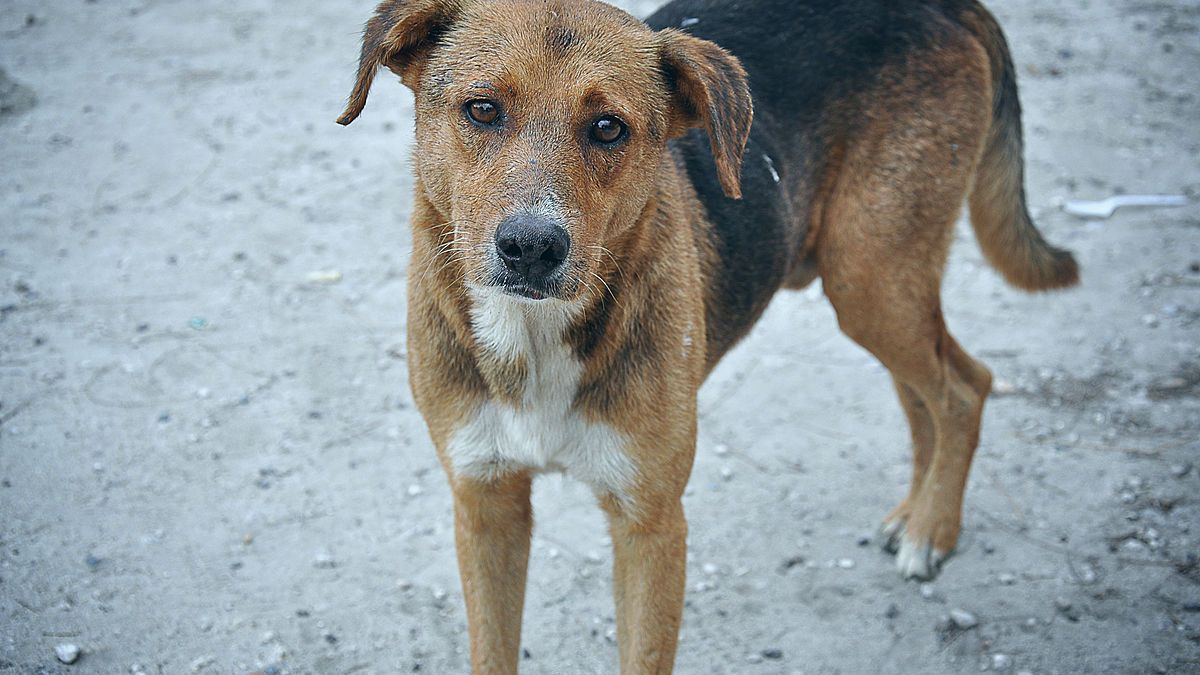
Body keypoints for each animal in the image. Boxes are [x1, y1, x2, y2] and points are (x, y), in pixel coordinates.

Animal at [336, 0, 1080, 667]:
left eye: (608, 128)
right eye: (483, 110)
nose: (530, 248)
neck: (534, 337)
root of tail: (943, 4)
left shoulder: (651, 522)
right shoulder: (485, 504)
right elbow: (492, 650)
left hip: (872, 279)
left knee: (965, 386)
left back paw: (932, 528)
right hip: (876, 286)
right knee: (928, 389)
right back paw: (913, 514)